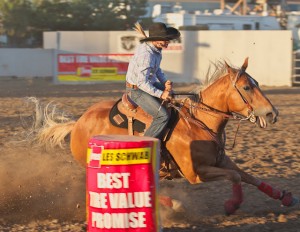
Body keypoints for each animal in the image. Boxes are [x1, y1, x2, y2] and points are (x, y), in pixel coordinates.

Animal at [32, 57, 298, 214]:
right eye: (246, 87)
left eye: (258, 83)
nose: (272, 113)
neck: (199, 123)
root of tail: (78, 122)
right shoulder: (195, 174)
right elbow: (235, 177)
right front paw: (232, 205)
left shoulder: (221, 160)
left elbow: (248, 176)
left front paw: (284, 197)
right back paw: (173, 204)